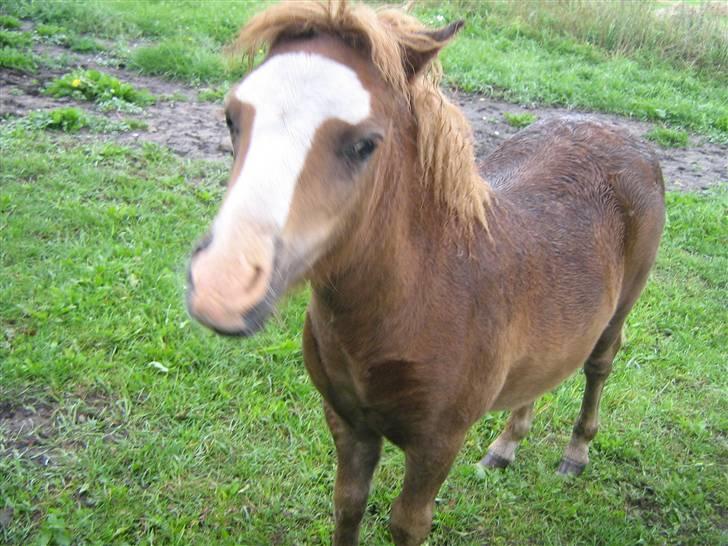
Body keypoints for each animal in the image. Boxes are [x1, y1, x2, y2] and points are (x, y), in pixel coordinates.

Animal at [186, 2, 664, 540]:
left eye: (365, 144)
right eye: (232, 117)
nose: (221, 287)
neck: (417, 296)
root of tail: (626, 137)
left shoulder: (439, 441)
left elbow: (407, 524)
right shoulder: (347, 422)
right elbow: (347, 504)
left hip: (621, 308)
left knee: (599, 364)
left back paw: (576, 453)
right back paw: (505, 446)